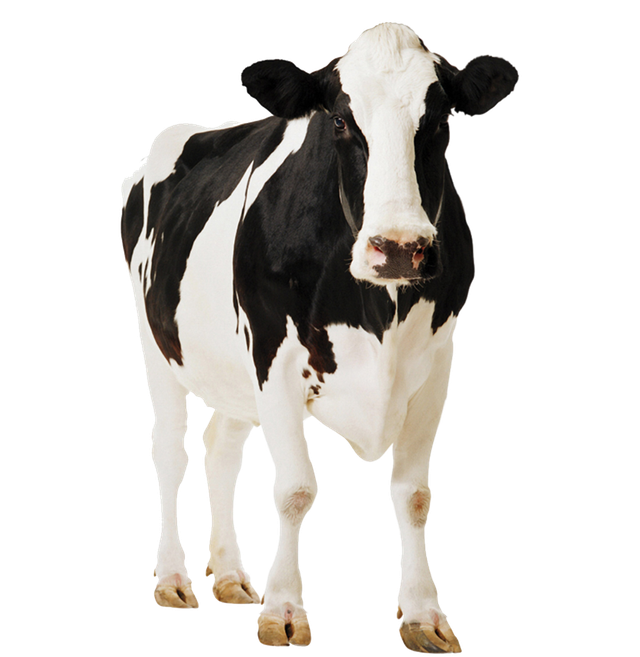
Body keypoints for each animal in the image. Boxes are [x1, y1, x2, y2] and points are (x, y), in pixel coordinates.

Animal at [119, 21, 518, 653]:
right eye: (338, 122)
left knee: (220, 447)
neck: (376, 307)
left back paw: (229, 575)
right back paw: (173, 579)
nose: (399, 247)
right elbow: (295, 489)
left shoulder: (435, 366)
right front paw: (284, 609)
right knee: (169, 453)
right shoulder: (274, 359)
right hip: (157, 343)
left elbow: (414, 494)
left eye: (440, 121)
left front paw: (424, 615)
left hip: (233, 372)